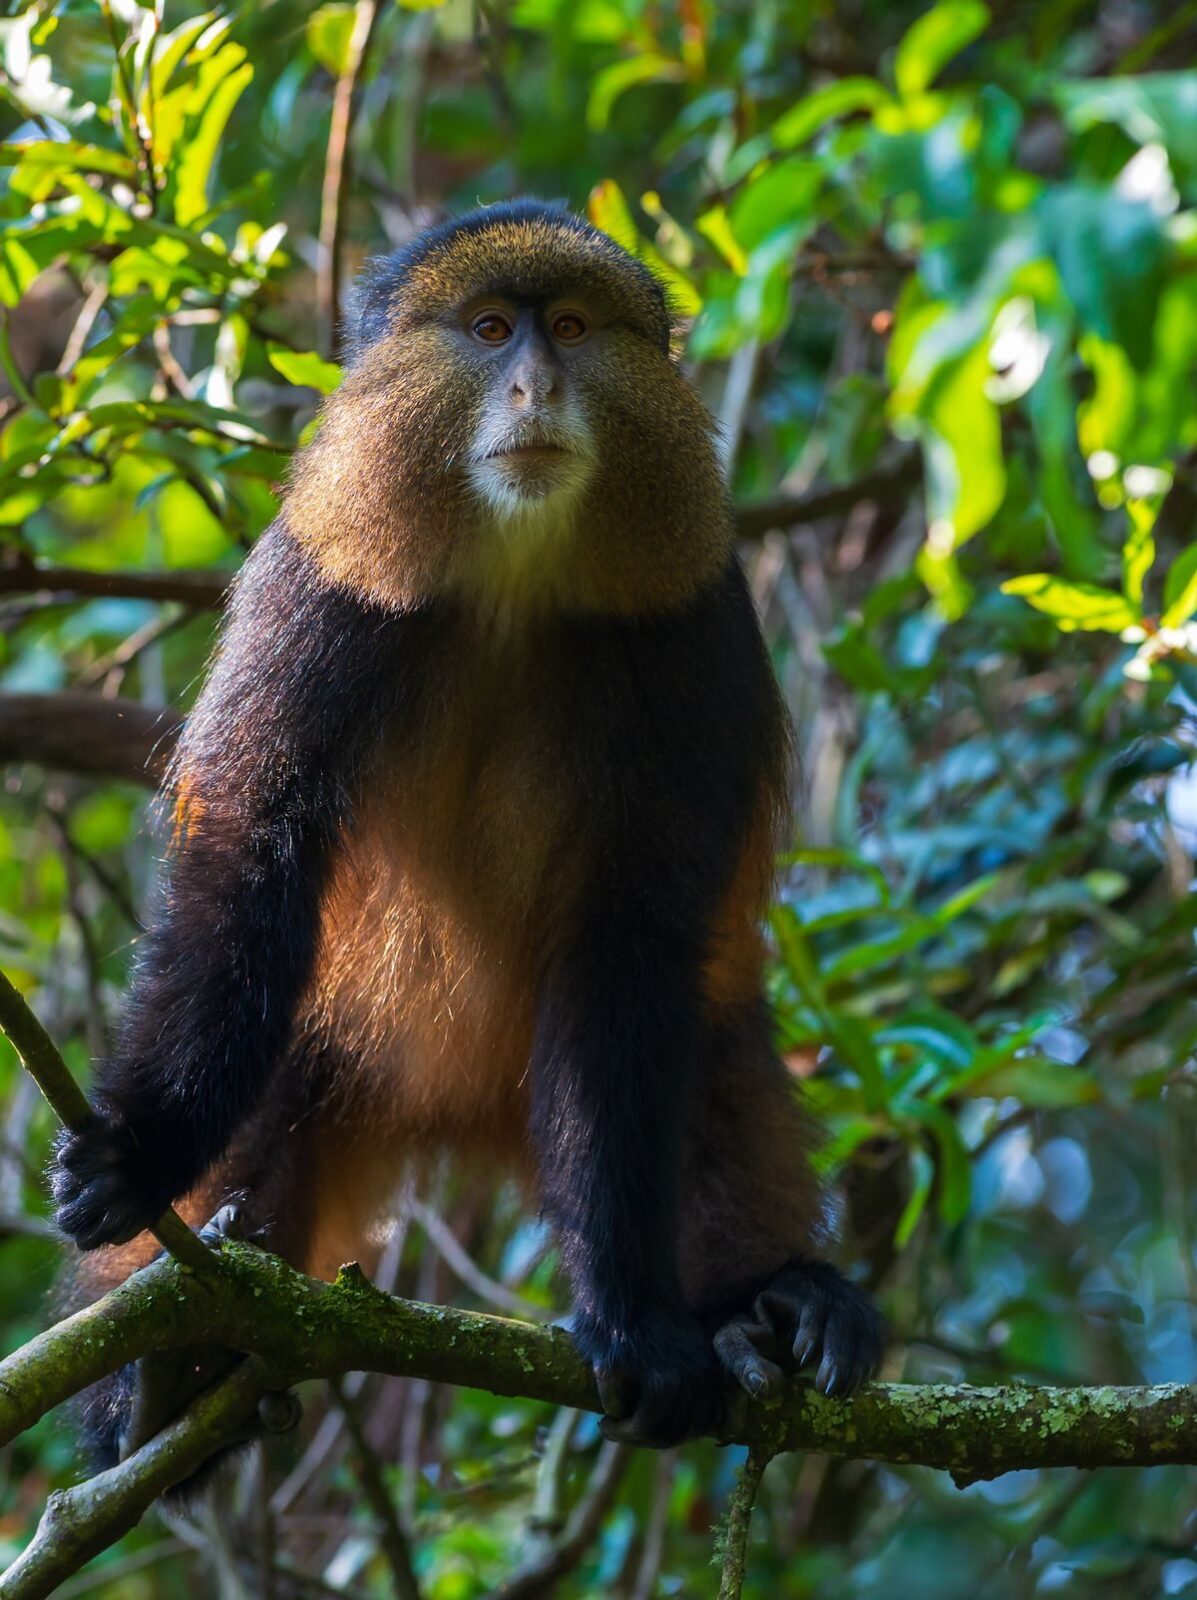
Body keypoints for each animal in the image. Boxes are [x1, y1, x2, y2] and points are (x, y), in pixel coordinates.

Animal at [51, 200, 882, 1467]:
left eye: (574, 329)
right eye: (492, 330)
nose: (536, 386)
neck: (513, 579)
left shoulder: (692, 632)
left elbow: (634, 939)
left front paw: (641, 1327)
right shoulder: (323, 589)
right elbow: (251, 848)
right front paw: (146, 1146)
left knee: (710, 1064)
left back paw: (771, 1302)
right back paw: (157, 1392)